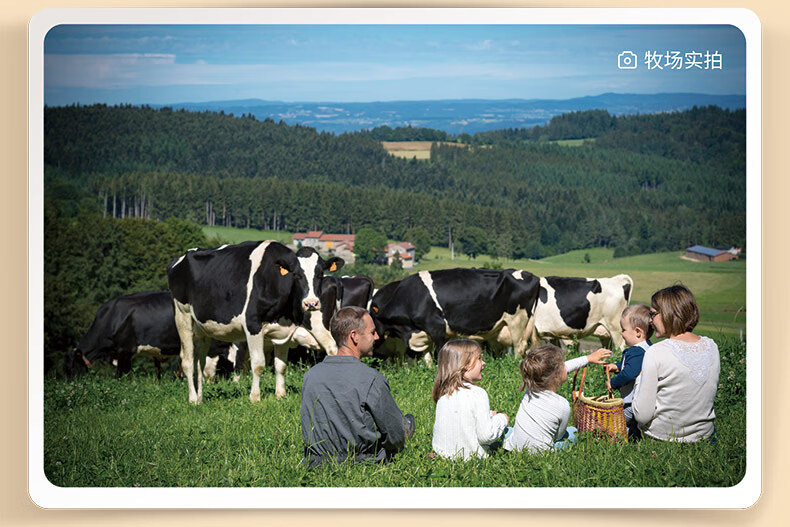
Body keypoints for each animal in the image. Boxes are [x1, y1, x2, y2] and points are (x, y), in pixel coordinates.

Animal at [167, 242, 344, 404]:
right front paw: (255, 398)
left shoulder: (285, 331)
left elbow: (281, 365)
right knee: (188, 361)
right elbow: (258, 365)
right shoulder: (252, 325)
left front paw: (281, 395)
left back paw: (200, 399)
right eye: (296, 274)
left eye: (320, 274)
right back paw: (192, 399)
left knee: (200, 362)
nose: (311, 303)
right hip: (183, 316)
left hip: (203, 329)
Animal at [372, 270, 544, 366]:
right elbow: (426, 357)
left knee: (519, 347)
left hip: (518, 321)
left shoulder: (437, 327)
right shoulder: (424, 333)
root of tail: (533, 276)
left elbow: (439, 353)